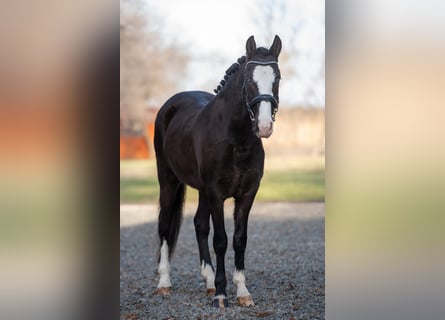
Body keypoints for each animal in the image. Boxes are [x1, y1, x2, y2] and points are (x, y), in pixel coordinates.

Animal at [154, 35, 282, 308]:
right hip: (168, 181)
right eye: (248, 80)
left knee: (199, 224)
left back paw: (209, 281)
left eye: (277, 79)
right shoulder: (216, 194)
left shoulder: (246, 195)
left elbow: (239, 240)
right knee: (164, 225)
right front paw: (222, 295)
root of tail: (169, 107)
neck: (236, 138)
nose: (264, 126)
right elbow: (221, 241)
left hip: (202, 191)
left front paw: (242, 292)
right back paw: (164, 283)